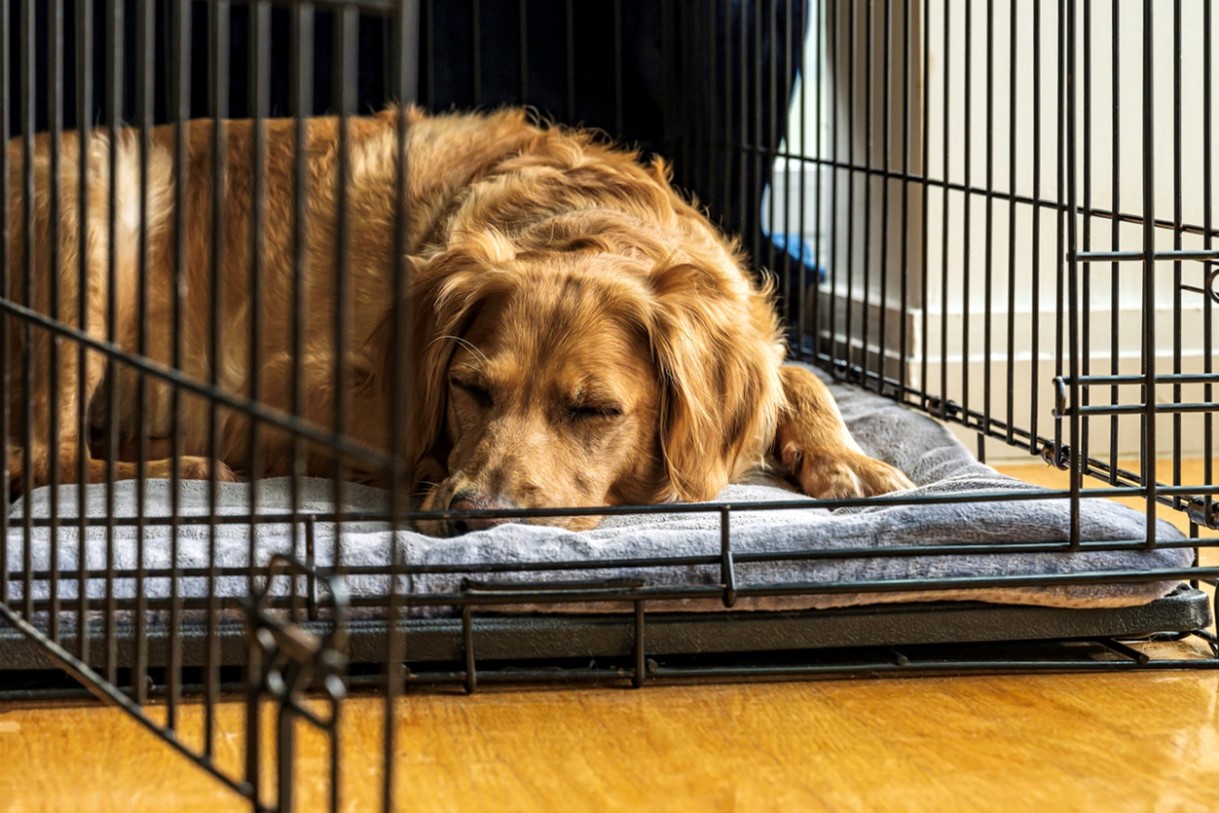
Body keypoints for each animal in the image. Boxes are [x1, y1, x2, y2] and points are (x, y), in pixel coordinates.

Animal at [7, 106, 906, 533]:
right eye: (470, 390)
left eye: (595, 411)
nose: (472, 510)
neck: (580, 223)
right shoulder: (297, 385)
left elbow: (796, 373)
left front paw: (847, 458)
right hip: (97, 203)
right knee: (46, 458)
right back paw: (185, 468)